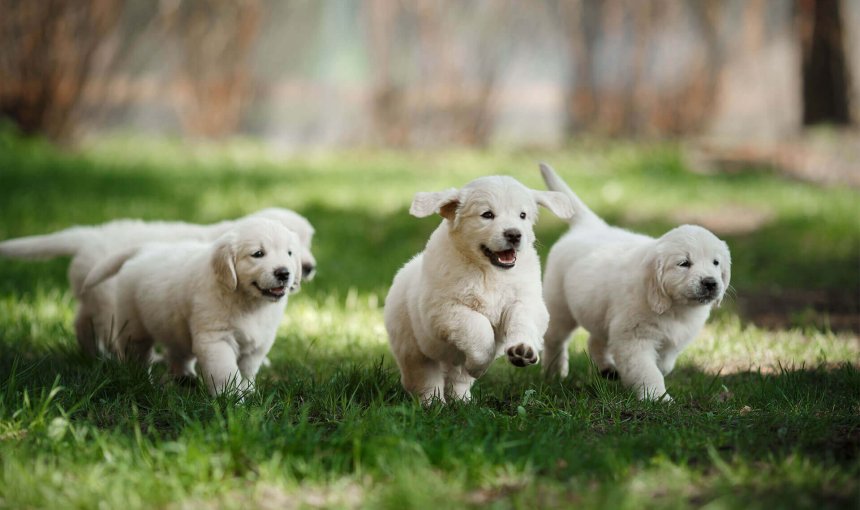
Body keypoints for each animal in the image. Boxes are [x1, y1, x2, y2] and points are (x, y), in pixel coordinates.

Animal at [0, 206, 316, 354]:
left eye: (307, 242)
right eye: (260, 253)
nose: (309, 268)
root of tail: (87, 236)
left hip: (91, 293)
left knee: (81, 321)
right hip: (109, 299)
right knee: (108, 329)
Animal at [81, 217, 302, 396]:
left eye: (290, 253)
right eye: (257, 254)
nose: (284, 273)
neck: (248, 302)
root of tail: (145, 249)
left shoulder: (259, 343)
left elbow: (247, 370)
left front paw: (249, 392)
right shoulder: (216, 339)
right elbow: (226, 372)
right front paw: (231, 400)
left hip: (175, 326)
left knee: (178, 353)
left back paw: (185, 379)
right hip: (134, 326)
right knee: (137, 355)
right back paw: (142, 380)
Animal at [386, 175, 576, 402]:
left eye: (522, 215)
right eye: (487, 215)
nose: (514, 234)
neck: (488, 271)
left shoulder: (525, 300)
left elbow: (523, 321)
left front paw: (522, 350)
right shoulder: (443, 310)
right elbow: (478, 327)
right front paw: (480, 365)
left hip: (451, 362)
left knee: (458, 379)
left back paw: (462, 401)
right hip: (413, 348)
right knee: (424, 379)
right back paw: (434, 403)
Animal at [536, 163, 732, 402]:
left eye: (716, 262)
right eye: (684, 263)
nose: (710, 283)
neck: (674, 308)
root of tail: (590, 226)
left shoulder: (671, 342)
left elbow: (664, 364)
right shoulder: (634, 338)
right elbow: (647, 370)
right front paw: (657, 398)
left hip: (599, 311)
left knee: (595, 340)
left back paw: (607, 369)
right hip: (559, 306)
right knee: (554, 340)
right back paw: (554, 372)